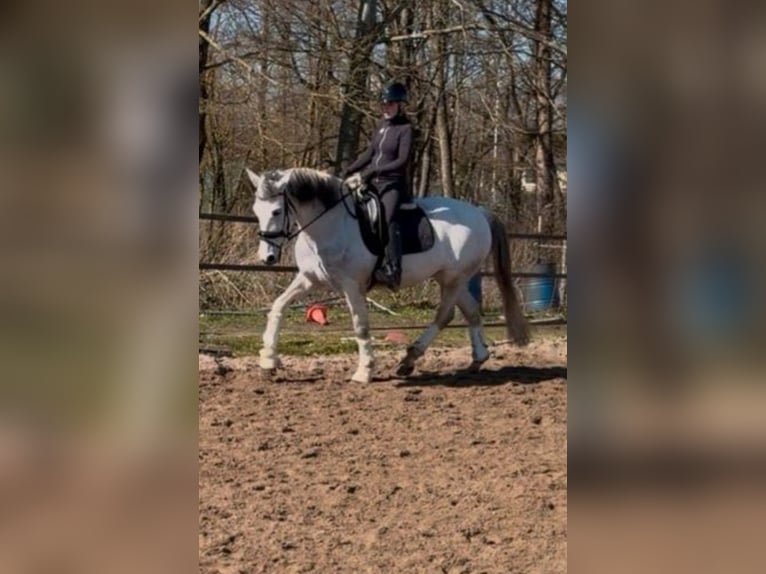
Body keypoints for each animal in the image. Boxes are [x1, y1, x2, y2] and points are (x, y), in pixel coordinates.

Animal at [246, 167, 529, 383]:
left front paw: (364, 372)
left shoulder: (352, 285)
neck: (328, 226)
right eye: (256, 211)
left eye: (276, 212)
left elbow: (360, 326)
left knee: (444, 315)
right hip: (449, 278)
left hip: (454, 278)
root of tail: (479, 213)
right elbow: (278, 306)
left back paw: (410, 358)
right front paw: (268, 360)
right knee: (470, 311)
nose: (267, 257)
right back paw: (477, 359)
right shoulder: (309, 279)